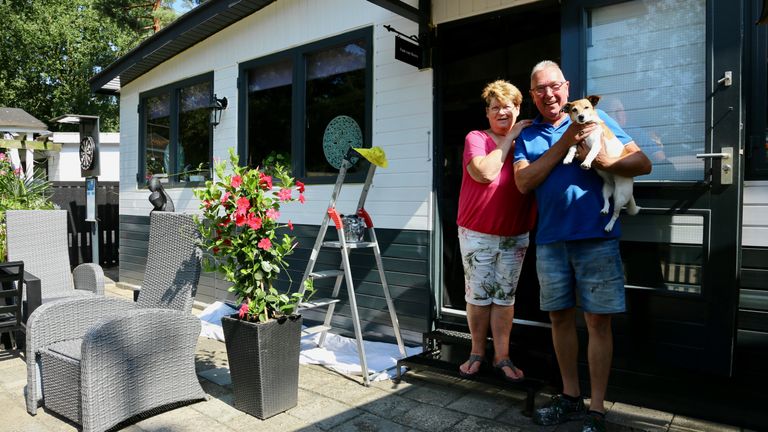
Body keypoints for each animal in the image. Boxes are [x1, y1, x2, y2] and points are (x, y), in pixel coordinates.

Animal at [560, 95, 640, 233]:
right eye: (574, 110)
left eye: (586, 107)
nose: (581, 117)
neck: (585, 127)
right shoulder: (576, 141)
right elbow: (571, 149)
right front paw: (568, 158)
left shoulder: (597, 144)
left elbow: (590, 154)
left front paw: (586, 163)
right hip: (606, 189)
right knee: (607, 201)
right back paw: (605, 209)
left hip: (620, 196)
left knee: (616, 214)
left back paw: (609, 226)